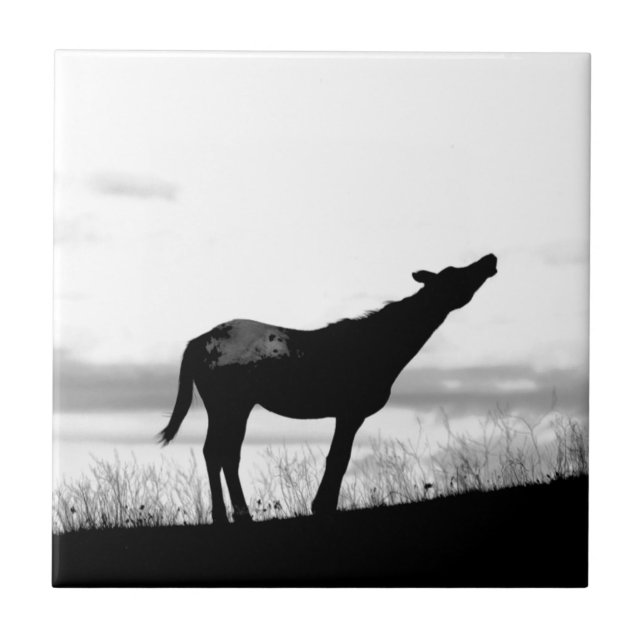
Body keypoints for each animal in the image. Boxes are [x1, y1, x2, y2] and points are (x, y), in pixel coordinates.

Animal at [159, 253, 497, 522]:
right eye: (456, 275)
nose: (490, 258)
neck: (384, 346)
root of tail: (196, 343)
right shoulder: (350, 412)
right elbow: (339, 458)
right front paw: (322, 506)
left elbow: (338, 457)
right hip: (231, 406)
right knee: (221, 453)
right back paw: (235, 515)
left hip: (227, 408)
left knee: (219, 453)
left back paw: (232, 515)